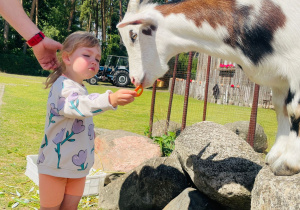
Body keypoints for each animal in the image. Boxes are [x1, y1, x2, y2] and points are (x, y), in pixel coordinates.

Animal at [118, 0, 300, 176]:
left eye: (133, 35)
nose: (133, 78)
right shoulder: (279, 79)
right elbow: (281, 109)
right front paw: (275, 156)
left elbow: (294, 110)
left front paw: (288, 163)